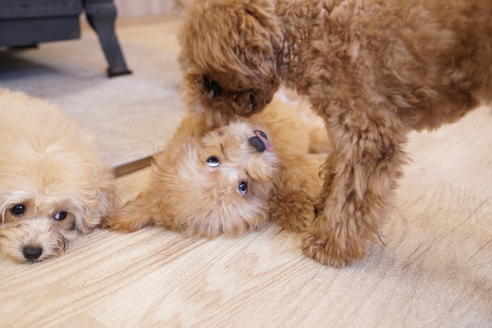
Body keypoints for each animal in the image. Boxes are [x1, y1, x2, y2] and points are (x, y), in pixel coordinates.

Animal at [180, 0, 492, 266]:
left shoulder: (367, 135)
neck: (310, 28)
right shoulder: (343, 129)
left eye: (210, 84)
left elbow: (351, 196)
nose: (210, 123)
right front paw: (320, 208)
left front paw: (329, 246)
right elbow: (335, 175)